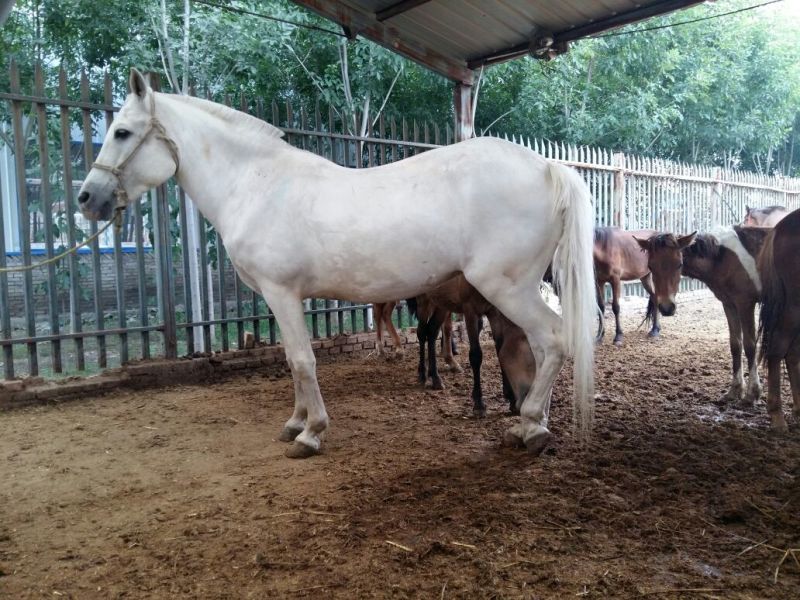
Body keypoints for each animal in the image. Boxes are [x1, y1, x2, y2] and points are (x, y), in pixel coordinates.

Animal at [408, 275, 536, 417]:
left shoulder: (493, 312)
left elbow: (499, 350)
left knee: (432, 332)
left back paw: (435, 377)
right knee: (421, 333)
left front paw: (511, 400)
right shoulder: (470, 310)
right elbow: (476, 355)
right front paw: (479, 403)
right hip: (424, 300)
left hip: (442, 304)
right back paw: (423, 374)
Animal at [635, 227, 770, 408]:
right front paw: (734, 390)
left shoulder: (745, 304)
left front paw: (752, 394)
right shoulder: (729, 304)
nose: (666, 307)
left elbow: (750, 347)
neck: (722, 258)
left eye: (679, 264)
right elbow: (735, 345)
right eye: (651, 266)